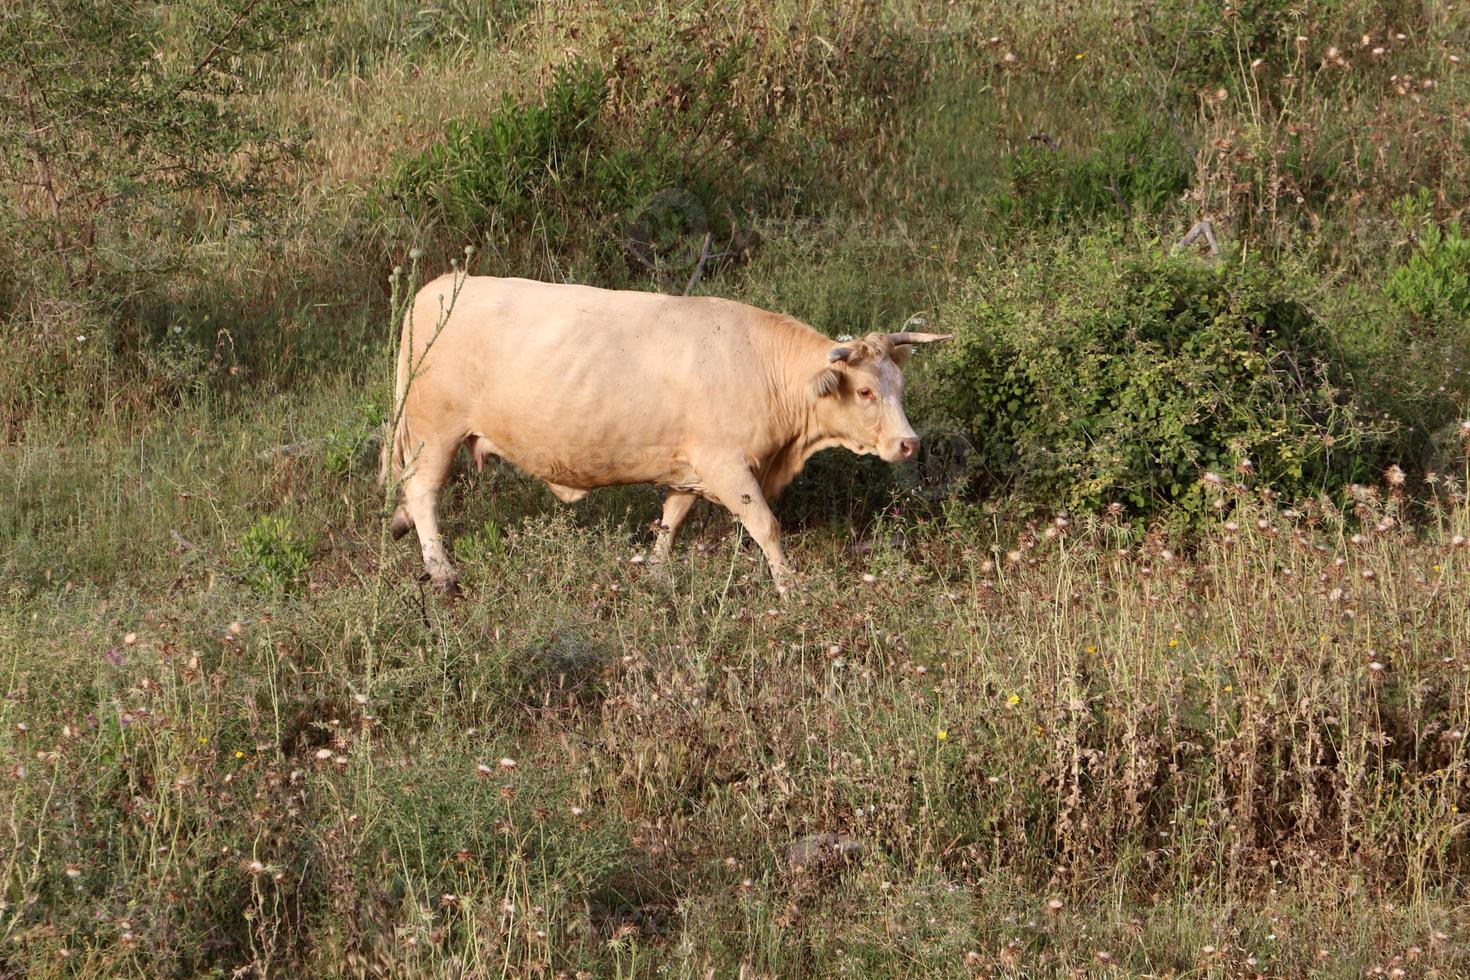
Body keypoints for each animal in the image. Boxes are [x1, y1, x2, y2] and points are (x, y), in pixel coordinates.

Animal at [382, 276, 952, 599]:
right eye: (864, 391)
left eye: (898, 385)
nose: (909, 443)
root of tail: (437, 287)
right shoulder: (727, 466)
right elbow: (766, 526)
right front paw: (790, 586)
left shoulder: (690, 466)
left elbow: (671, 518)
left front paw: (655, 573)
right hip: (436, 431)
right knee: (423, 492)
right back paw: (442, 572)